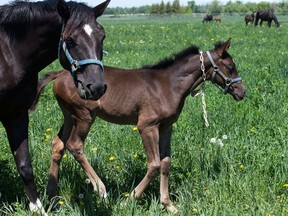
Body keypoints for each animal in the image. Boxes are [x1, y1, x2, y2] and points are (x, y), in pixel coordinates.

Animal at [0, 0, 109, 213]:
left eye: (102, 36)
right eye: (71, 40)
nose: (96, 87)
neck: (9, 54)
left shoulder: (16, 115)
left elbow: (25, 165)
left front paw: (37, 208)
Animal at [32, 37, 248, 213]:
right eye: (230, 67)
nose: (242, 92)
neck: (168, 85)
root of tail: (60, 73)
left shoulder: (167, 126)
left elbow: (166, 162)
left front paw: (168, 204)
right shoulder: (147, 126)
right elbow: (154, 164)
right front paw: (129, 200)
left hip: (70, 115)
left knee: (58, 144)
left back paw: (51, 196)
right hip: (85, 115)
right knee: (74, 145)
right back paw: (100, 189)